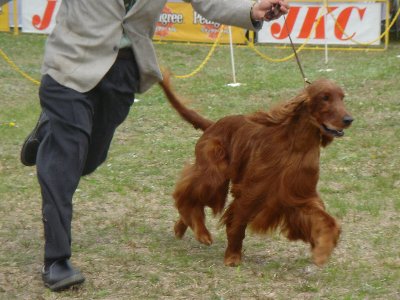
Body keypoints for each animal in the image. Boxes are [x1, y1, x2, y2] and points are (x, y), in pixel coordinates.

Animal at [159, 72, 354, 268]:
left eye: (342, 97)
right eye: (325, 97)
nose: (349, 120)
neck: (296, 145)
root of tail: (214, 124)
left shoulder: (299, 195)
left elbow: (327, 221)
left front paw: (322, 251)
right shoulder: (252, 192)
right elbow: (237, 224)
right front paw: (232, 257)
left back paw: (181, 228)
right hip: (213, 174)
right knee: (186, 194)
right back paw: (202, 233)